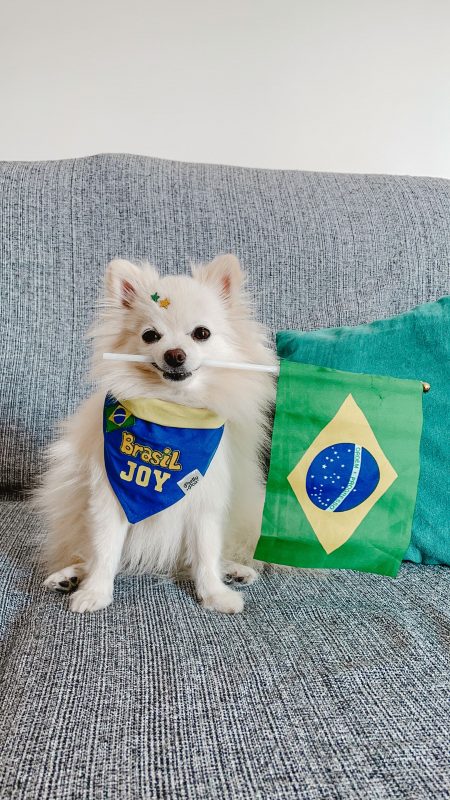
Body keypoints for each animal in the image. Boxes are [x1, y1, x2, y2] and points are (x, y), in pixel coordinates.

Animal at [34, 254, 276, 613]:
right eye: (150, 336)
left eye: (202, 333)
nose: (174, 354)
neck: (172, 412)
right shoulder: (107, 496)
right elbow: (104, 549)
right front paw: (95, 592)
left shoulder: (204, 498)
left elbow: (206, 551)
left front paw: (213, 593)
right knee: (87, 553)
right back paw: (71, 575)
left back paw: (232, 571)